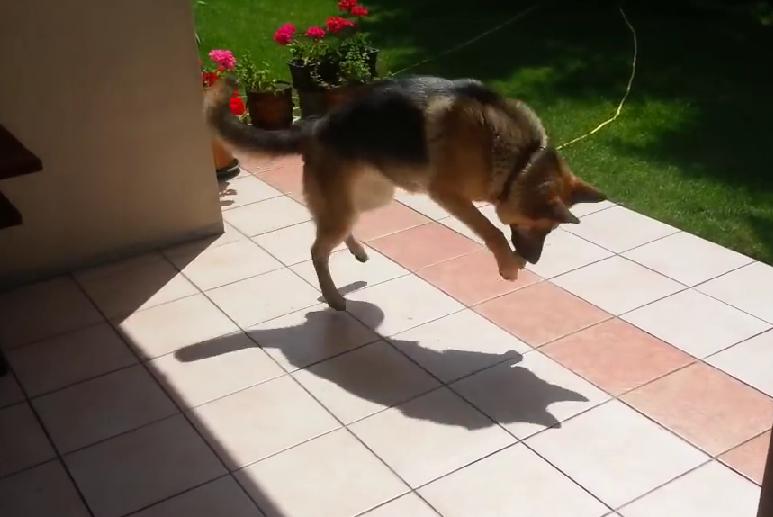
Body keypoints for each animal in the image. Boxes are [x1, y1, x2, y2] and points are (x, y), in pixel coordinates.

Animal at [207, 75, 608, 310]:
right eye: (540, 228)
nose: (534, 262)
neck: (520, 159)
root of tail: (317, 124)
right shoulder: (448, 194)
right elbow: (491, 230)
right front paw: (509, 266)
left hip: (371, 196)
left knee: (335, 227)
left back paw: (355, 250)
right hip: (350, 206)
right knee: (317, 249)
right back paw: (334, 297)